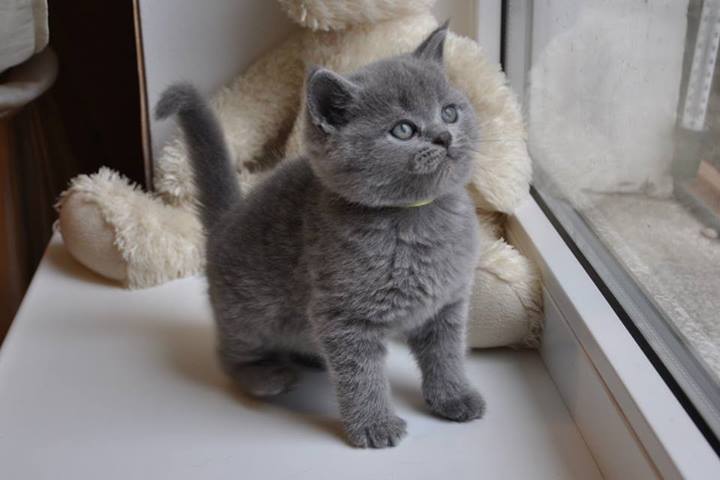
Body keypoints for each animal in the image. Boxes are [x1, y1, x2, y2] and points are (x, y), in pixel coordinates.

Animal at [157, 24, 484, 448]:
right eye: (403, 130)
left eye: (449, 111)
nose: (444, 136)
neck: (417, 217)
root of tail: (226, 219)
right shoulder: (343, 316)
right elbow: (361, 375)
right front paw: (374, 425)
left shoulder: (448, 304)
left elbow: (446, 356)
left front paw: (454, 396)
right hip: (249, 312)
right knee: (230, 355)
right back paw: (267, 376)